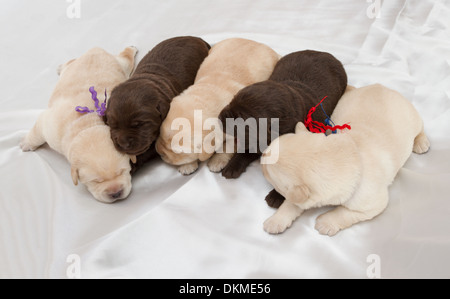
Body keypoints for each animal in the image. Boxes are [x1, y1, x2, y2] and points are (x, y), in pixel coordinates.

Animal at [19, 47, 138, 204]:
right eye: (95, 181)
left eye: (123, 170)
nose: (116, 193)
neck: (86, 124)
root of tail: (95, 50)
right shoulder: (48, 124)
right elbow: (36, 134)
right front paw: (27, 143)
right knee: (71, 63)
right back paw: (61, 66)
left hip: (123, 66)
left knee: (126, 57)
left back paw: (131, 49)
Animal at [103, 37, 211, 173]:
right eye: (112, 125)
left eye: (139, 124)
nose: (123, 144)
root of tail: (196, 38)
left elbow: (149, 150)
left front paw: (131, 165)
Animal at [156, 37, 280, 175]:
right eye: (160, 133)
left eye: (177, 152)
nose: (158, 151)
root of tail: (255, 41)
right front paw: (187, 165)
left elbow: (227, 147)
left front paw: (217, 161)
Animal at [262, 84, 430, 237]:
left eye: (268, 174)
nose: (262, 157)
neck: (351, 153)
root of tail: (381, 86)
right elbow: (290, 205)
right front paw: (276, 220)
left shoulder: (374, 204)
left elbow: (345, 213)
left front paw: (326, 222)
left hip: (412, 117)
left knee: (420, 128)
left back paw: (421, 142)